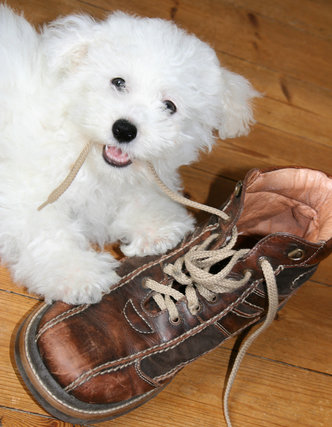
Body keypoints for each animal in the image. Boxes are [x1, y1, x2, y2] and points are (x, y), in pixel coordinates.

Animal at [0, 3, 256, 304]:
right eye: (118, 82)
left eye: (170, 106)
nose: (124, 130)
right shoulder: (26, 191)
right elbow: (48, 232)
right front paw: (78, 276)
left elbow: (139, 198)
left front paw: (157, 229)